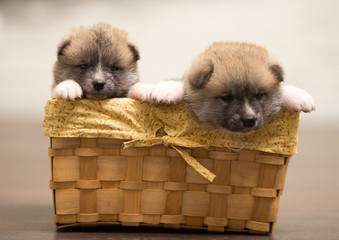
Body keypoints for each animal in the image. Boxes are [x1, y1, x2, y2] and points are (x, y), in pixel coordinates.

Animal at [130, 42, 316, 134]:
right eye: (227, 98)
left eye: (259, 95)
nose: (249, 120)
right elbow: (181, 83)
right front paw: (165, 90)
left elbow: (283, 89)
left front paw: (298, 96)